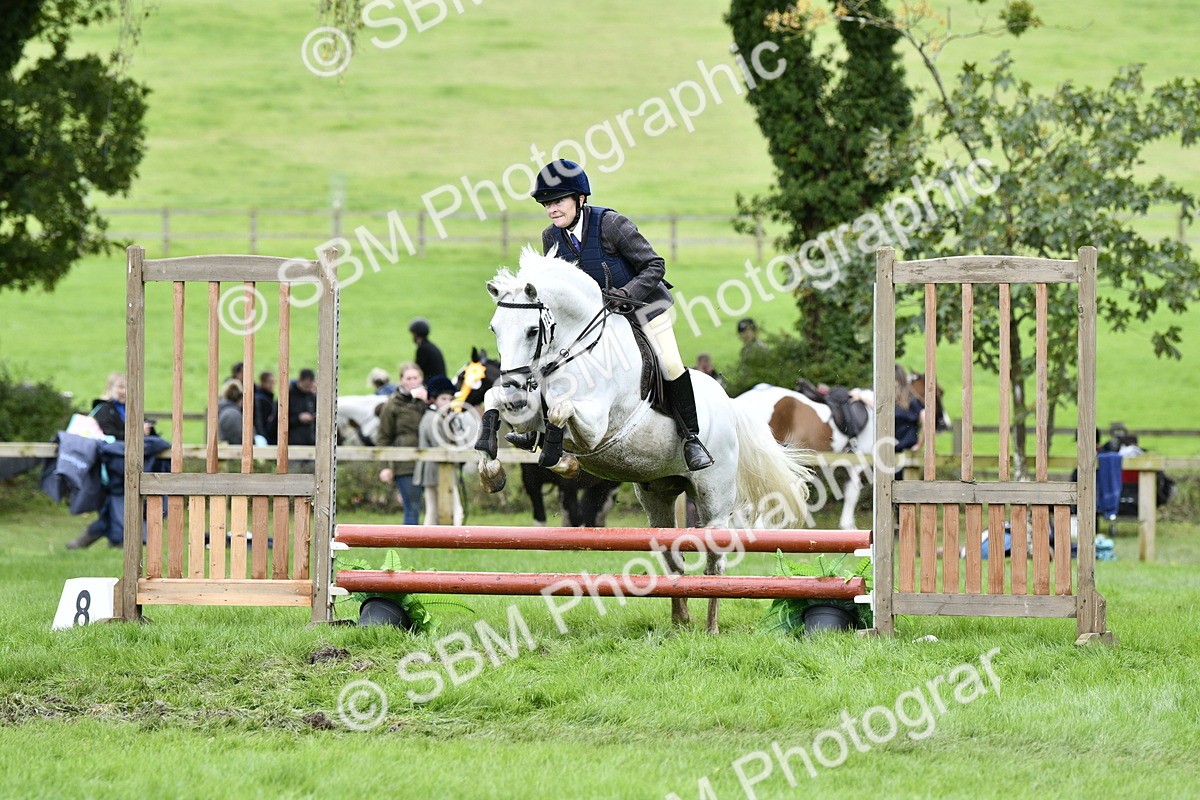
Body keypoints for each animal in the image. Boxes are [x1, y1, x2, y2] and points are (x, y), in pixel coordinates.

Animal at [475, 247, 813, 633]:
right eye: (494, 328)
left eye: (533, 330)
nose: (515, 391)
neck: (576, 348)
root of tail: (729, 403)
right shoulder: (529, 405)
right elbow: (495, 401)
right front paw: (492, 470)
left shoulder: (595, 424)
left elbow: (561, 412)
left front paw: (561, 460)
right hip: (658, 497)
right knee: (673, 558)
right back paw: (680, 622)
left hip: (714, 497)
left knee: (715, 562)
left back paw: (711, 627)